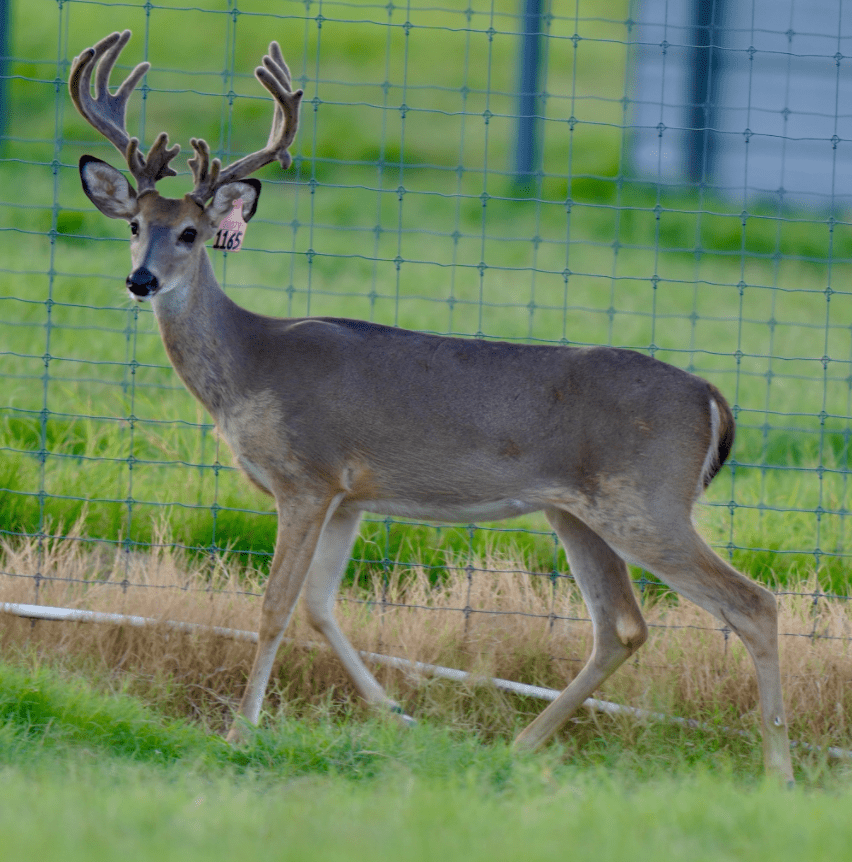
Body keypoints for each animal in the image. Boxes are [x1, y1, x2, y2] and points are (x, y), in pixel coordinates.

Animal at [69, 30, 794, 782]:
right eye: (134, 225)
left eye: (189, 232)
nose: (141, 280)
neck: (249, 367)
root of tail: (712, 398)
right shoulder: (350, 495)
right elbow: (319, 607)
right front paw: (398, 717)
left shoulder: (307, 475)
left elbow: (274, 607)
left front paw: (241, 733)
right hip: (578, 512)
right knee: (621, 626)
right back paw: (520, 746)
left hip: (646, 499)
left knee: (752, 602)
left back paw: (780, 768)